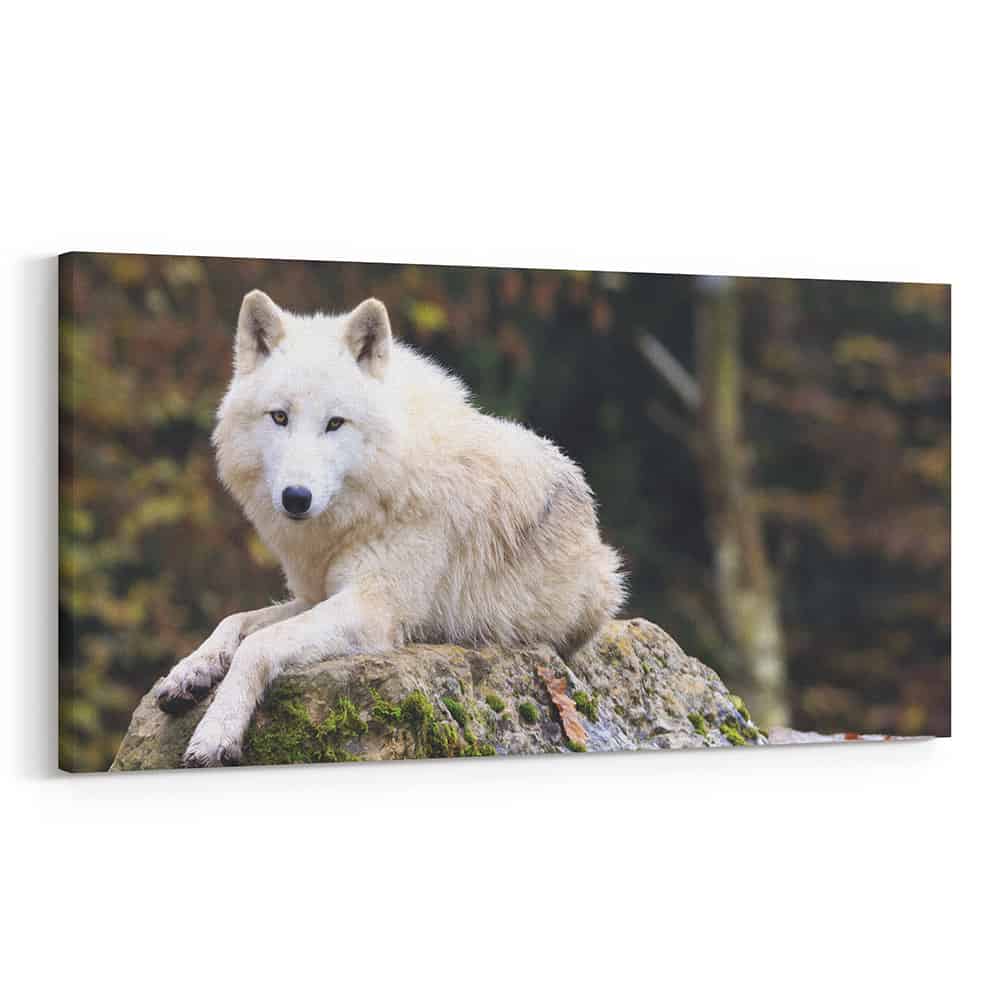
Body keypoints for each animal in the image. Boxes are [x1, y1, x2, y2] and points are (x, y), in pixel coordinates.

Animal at [153, 290, 626, 765]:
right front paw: (188, 672)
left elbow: (259, 643)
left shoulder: (371, 608)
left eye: (335, 423)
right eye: (280, 417)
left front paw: (216, 733)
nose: (296, 497)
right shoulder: (316, 595)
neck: (384, 485)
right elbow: (235, 621)